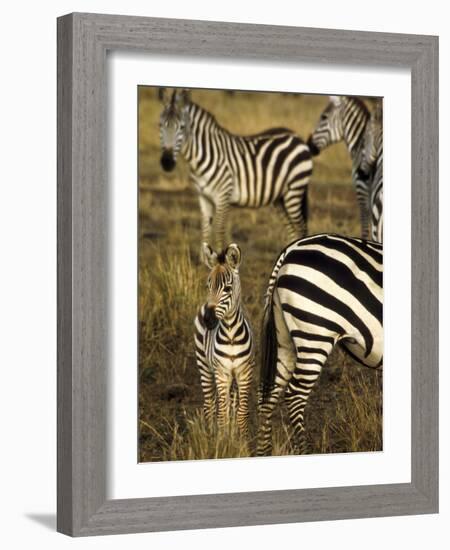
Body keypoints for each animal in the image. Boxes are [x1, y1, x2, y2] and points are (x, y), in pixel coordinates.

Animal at [159, 89, 312, 254]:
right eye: (160, 125)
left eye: (181, 127)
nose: (166, 162)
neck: (204, 156)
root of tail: (295, 136)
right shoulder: (203, 197)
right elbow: (205, 233)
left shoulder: (223, 196)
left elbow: (219, 232)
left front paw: (220, 259)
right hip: (279, 198)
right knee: (292, 230)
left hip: (294, 191)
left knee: (301, 228)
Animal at [194, 244, 255, 438]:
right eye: (208, 286)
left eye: (227, 289)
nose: (208, 320)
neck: (230, 335)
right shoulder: (221, 373)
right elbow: (222, 412)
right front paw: (222, 439)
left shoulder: (244, 372)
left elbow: (241, 411)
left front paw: (241, 439)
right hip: (204, 365)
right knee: (210, 404)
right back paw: (210, 433)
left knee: (232, 403)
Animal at [258, 233, 382, 458]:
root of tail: (291, 249)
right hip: (315, 334)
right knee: (295, 395)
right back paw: (304, 451)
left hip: (285, 339)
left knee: (269, 394)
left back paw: (263, 452)